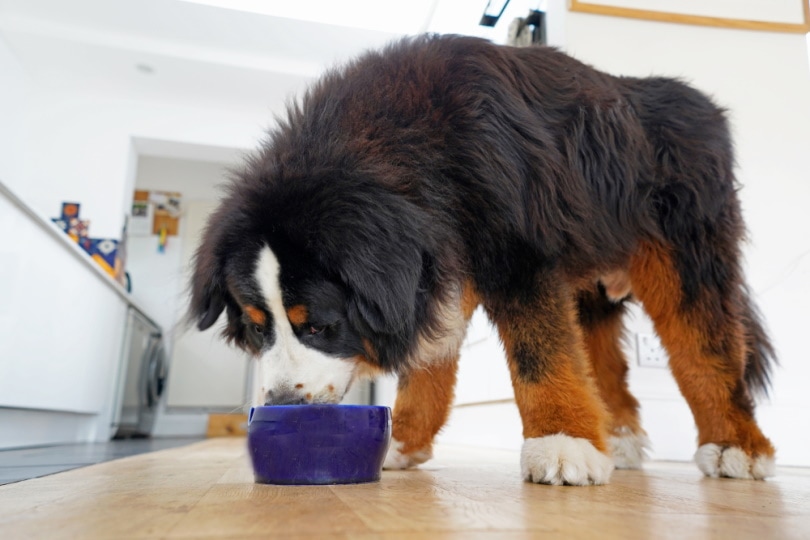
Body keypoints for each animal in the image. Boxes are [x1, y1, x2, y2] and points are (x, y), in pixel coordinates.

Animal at [186, 35, 772, 488]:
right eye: (257, 329)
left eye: (322, 327)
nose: (283, 400)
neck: (402, 144)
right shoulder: (437, 262)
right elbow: (428, 363)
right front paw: (403, 441)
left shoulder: (518, 255)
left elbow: (541, 356)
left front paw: (561, 441)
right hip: (591, 274)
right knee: (604, 361)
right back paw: (620, 438)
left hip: (686, 255)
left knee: (705, 349)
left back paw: (735, 445)